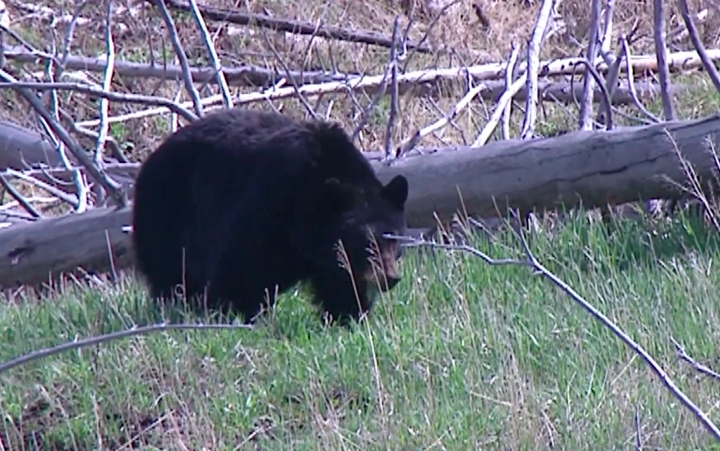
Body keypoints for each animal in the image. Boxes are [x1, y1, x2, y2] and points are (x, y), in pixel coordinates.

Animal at [131, 107, 410, 325]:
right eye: (367, 242)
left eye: (394, 238)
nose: (390, 278)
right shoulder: (269, 203)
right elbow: (239, 266)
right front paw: (237, 313)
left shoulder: (330, 254)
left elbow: (342, 285)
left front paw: (349, 317)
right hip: (167, 213)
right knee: (171, 272)